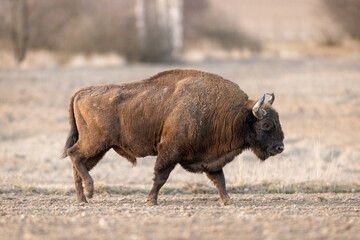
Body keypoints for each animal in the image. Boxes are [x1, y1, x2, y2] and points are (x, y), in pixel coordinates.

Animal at [63, 68, 286, 205]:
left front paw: (228, 202)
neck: (234, 114)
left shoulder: (211, 159)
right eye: (267, 124)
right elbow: (161, 176)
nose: (280, 147)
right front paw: (151, 201)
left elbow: (219, 180)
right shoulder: (170, 151)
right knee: (74, 155)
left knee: (78, 163)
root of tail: (82, 92)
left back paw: (82, 199)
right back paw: (89, 191)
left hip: (98, 148)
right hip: (96, 143)